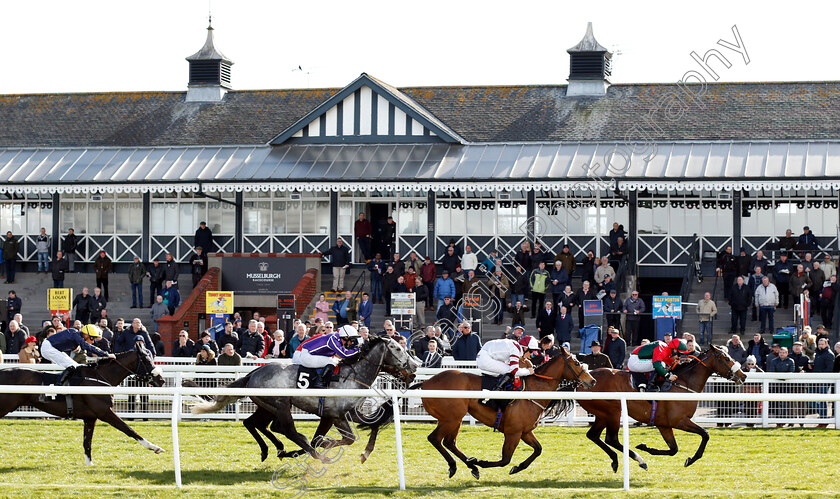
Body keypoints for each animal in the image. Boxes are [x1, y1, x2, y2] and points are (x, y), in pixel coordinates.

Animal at [0, 346, 168, 466]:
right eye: (146, 360)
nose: (161, 380)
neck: (100, 378)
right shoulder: (105, 412)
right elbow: (129, 430)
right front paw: (155, 447)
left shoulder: (90, 417)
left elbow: (87, 442)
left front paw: (89, 465)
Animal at [189, 336, 416, 464]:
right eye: (397, 348)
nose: (414, 366)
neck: (352, 375)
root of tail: (254, 372)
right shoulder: (336, 415)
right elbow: (345, 438)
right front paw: (324, 445)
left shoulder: (345, 413)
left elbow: (373, 425)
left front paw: (365, 453)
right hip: (280, 405)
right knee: (286, 429)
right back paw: (311, 454)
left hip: (266, 406)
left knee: (253, 423)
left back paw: (273, 450)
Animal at [420, 348, 596, 480]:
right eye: (577, 363)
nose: (592, 381)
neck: (533, 390)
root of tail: (426, 382)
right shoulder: (513, 432)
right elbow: (505, 459)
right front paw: (483, 462)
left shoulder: (525, 431)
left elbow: (538, 449)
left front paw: (517, 467)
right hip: (451, 418)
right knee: (435, 438)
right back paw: (456, 465)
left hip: (456, 418)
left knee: (450, 442)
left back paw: (471, 466)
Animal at [576, 344, 748, 472]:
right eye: (726, 358)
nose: (743, 375)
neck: (682, 384)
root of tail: (583, 382)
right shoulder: (679, 421)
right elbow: (705, 434)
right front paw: (690, 460)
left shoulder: (664, 424)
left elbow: (674, 449)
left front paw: (646, 447)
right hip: (612, 412)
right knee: (611, 439)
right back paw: (639, 460)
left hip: (602, 414)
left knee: (593, 435)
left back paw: (617, 460)